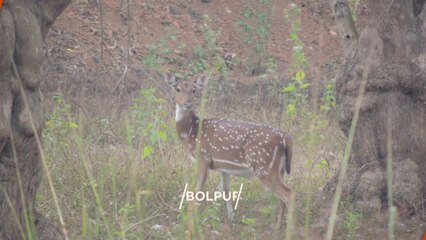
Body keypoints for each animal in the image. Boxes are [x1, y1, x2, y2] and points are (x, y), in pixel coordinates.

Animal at [166, 73, 292, 229]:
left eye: (194, 90)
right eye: (177, 89)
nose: (188, 103)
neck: (190, 133)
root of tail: (285, 138)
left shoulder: (203, 158)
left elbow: (199, 190)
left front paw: (195, 220)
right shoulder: (222, 167)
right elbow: (226, 191)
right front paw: (231, 220)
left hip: (265, 168)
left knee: (288, 194)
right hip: (279, 170)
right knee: (283, 197)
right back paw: (277, 227)